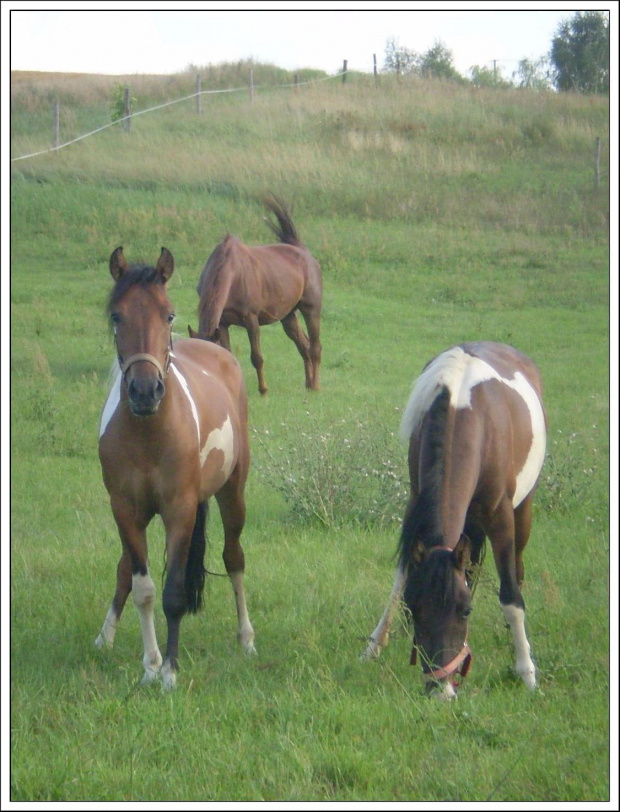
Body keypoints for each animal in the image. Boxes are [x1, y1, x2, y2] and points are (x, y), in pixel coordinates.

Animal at [95, 247, 256, 692]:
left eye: (167, 314)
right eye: (116, 315)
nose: (145, 391)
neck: (149, 433)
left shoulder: (180, 511)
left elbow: (174, 593)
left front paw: (169, 670)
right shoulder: (124, 511)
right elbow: (142, 587)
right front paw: (150, 665)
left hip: (232, 494)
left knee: (234, 558)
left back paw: (246, 638)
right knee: (124, 570)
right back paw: (104, 637)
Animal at [188, 197, 324, 400]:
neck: (231, 272)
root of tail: (304, 253)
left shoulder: (251, 320)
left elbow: (257, 358)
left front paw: (263, 390)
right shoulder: (223, 323)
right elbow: (229, 354)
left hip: (311, 309)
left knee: (315, 347)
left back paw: (315, 386)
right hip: (288, 317)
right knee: (304, 346)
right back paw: (307, 384)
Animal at [364, 340, 548, 696]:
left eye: (465, 611)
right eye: (416, 608)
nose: (440, 690)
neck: (463, 407)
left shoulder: (500, 516)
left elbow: (509, 594)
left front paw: (526, 671)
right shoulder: (415, 503)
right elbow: (402, 577)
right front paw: (377, 642)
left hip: (522, 510)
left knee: (516, 569)